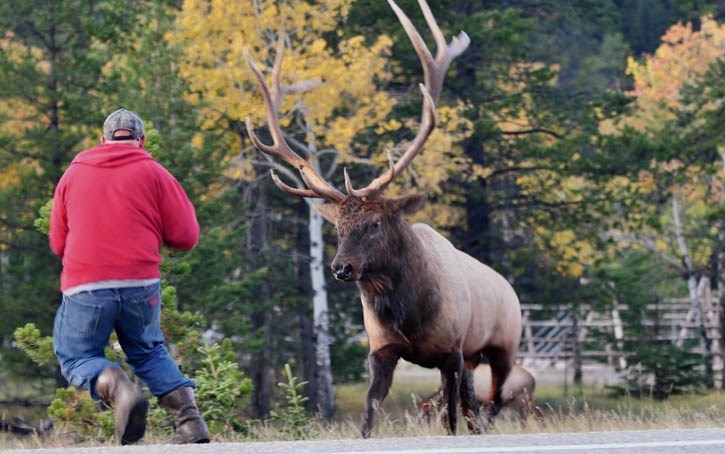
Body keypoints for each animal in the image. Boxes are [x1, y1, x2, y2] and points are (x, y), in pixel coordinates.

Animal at [245, 0, 520, 438]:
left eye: (375, 223)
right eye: (337, 227)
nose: (341, 267)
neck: (410, 314)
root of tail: (510, 289)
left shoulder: (453, 350)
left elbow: (450, 418)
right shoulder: (382, 349)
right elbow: (371, 409)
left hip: (503, 346)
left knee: (491, 402)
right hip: (476, 358)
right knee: (475, 405)